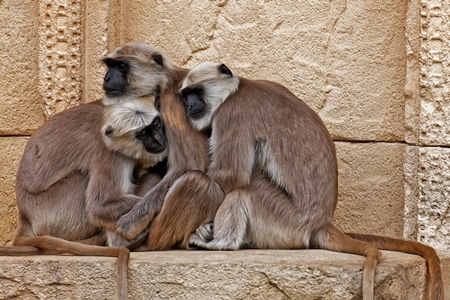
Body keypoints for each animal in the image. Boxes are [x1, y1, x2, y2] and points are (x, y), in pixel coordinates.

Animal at [177, 61, 442, 300]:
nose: (189, 106)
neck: (240, 88)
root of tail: (322, 222)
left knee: (247, 187)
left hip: (286, 222)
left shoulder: (234, 112)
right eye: (185, 95)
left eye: (195, 92)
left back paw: (221, 244)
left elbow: (232, 175)